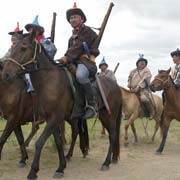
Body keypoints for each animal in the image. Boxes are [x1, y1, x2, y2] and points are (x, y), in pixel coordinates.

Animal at [1, 32, 122, 179]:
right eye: (13, 48)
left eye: (23, 48)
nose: (6, 74)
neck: (49, 81)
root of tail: (116, 86)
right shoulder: (50, 119)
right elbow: (58, 142)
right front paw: (60, 168)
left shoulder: (50, 118)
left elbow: (38, 142)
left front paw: (33, 171)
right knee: (79, 133)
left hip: (107, 116)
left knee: (112, 135)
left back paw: (106, 162)